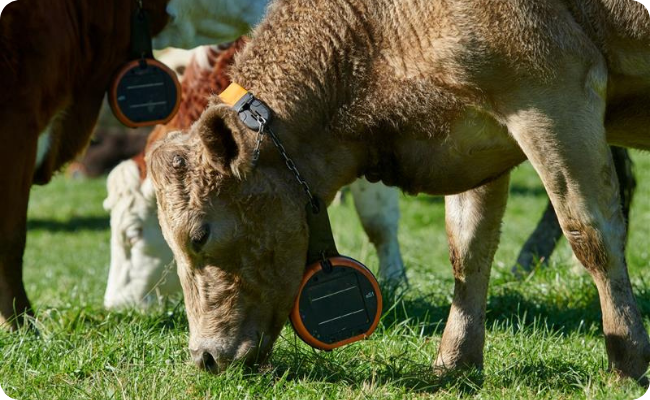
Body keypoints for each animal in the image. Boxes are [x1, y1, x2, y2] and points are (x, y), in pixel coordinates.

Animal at [148, 0, 650, 383]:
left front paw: (627, 361)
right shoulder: (481, 133)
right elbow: (468, 249)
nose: (203, 357)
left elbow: (593, 235)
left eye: (199, 236)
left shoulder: (553, 93)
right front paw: (455, 362)